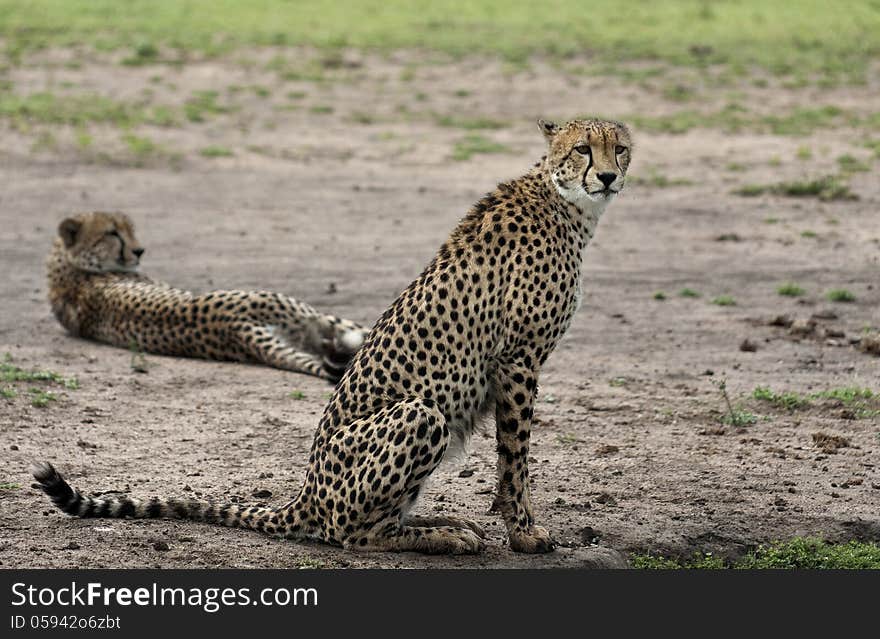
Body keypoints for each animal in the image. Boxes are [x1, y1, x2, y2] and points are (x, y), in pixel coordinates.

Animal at [45, 211, 368, 380]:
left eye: (129, 228)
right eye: (112, 233)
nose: (139, 251)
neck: (68, 266)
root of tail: (234, 325)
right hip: (309, 314)